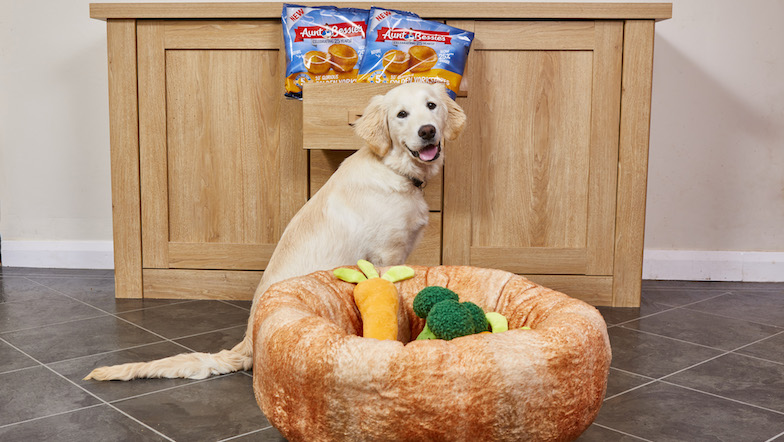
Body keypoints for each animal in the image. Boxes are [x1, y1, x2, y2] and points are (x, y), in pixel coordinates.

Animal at [86, 83, 466, 380]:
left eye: (431, 106)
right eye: (401, 114)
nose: (427, 131)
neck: (392, 169)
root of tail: (248, 342)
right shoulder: (387, 254)